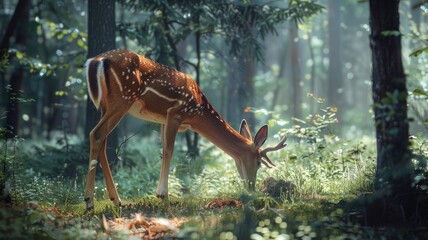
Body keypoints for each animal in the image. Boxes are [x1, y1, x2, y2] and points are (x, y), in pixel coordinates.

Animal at [83, 49, 288, 210]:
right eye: (259, 163)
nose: (252, 188)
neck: (197, 111)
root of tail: (95, 61)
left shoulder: (163, 119)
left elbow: (163, 152)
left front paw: (160, 193)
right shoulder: (176, 113)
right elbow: (169, 151)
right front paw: (164, 195)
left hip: (104, 104)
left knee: (103, 141)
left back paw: (116, 200)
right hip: (123, 97)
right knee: (96, 134)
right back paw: (89, 201)